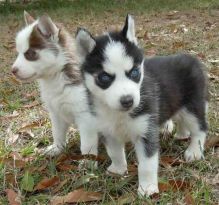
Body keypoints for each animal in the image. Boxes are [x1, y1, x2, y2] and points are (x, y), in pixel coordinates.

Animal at [11, 10, 97, 159]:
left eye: (30, 54)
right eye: (19, 53)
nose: (13, 70)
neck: (55, 78)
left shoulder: (86, 118)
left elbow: (87, 146)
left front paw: (87, 161)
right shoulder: (56, 114)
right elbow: (57, 133)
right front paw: (57, 148)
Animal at [75, 15, 207, 196]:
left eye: (135, 72)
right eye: (104, 77)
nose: (128, 101)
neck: (119, 114)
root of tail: (191, 58)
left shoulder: (146, 132)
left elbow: (146, 165)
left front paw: (148, 188)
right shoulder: (108, 130)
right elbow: (114, 152)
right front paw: (118, 170)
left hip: (192, 107)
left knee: (200, 128)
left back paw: (194, 151)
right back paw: (182, 134)